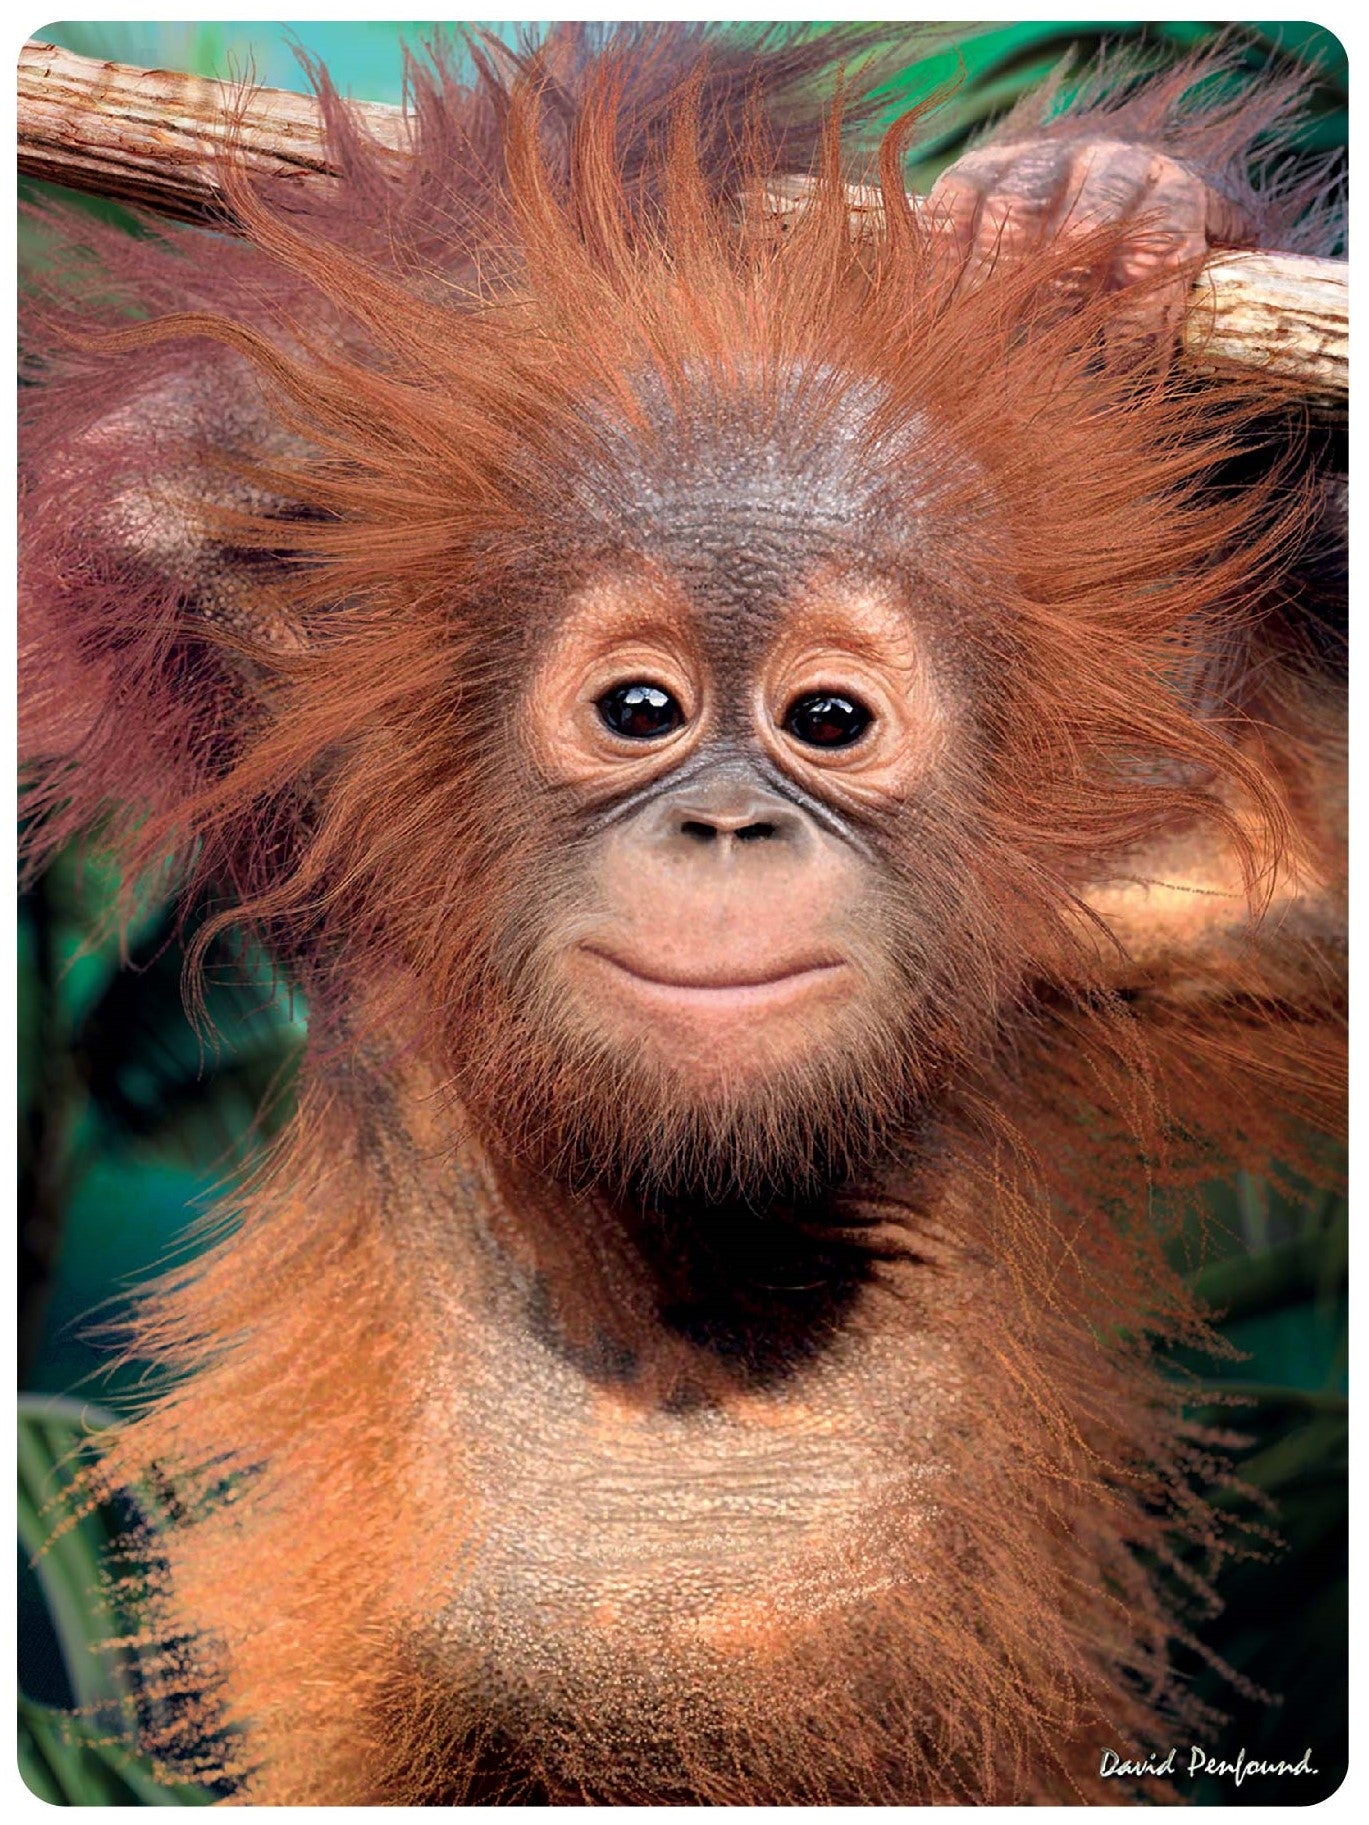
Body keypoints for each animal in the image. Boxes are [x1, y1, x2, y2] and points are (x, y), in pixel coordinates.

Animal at [18, 23, 1345, 1806]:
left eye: (829, 721)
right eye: (639, 709)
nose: (726, 823)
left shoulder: (1119, 934)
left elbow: (1307, 882)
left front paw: (1106, 213)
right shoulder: (349, 836)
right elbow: (146, 492)